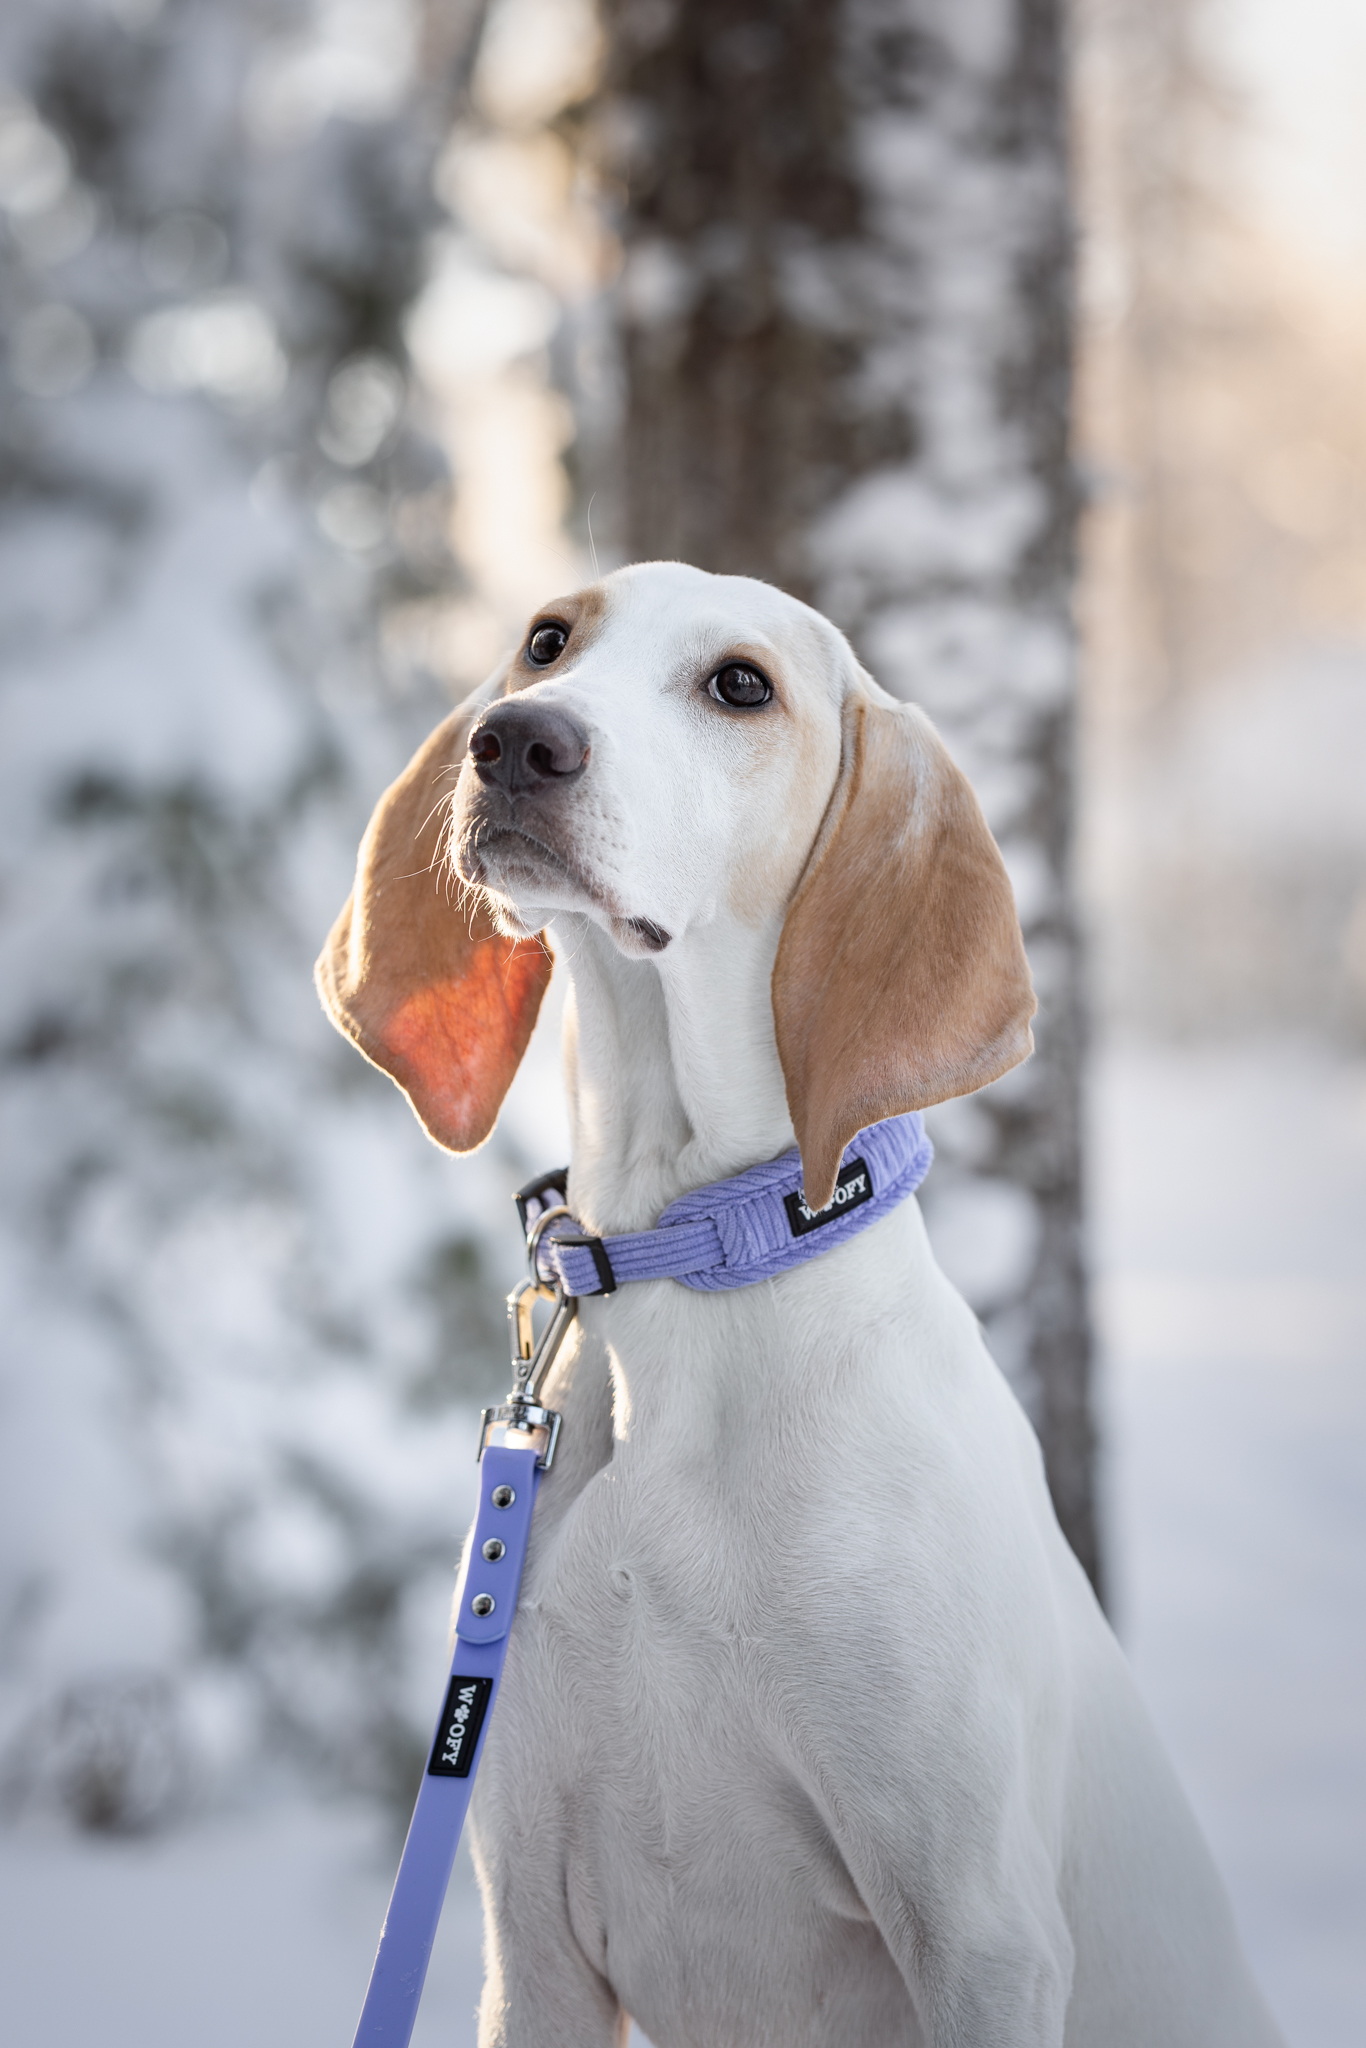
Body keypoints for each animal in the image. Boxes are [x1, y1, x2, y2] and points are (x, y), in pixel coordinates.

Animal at [318, 562, 1283, 2048]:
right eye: (546, 641)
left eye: (739, 686)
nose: (516, 741)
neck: (693, 1273)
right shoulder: (529, 1939)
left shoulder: (977, 1937)